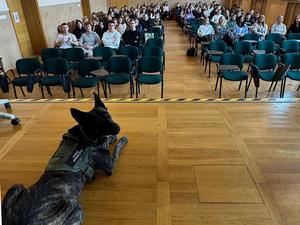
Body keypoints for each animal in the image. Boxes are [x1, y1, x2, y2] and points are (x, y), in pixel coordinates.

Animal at [1, 92, 127, 224]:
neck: (85, 134)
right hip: (75, 205)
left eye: (107, 114)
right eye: (97, 123)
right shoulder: (110, 165)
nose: (117, 128)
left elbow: (107, 141)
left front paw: (112, 137)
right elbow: (116, 148)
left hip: (16, 186)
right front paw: (121, 139)